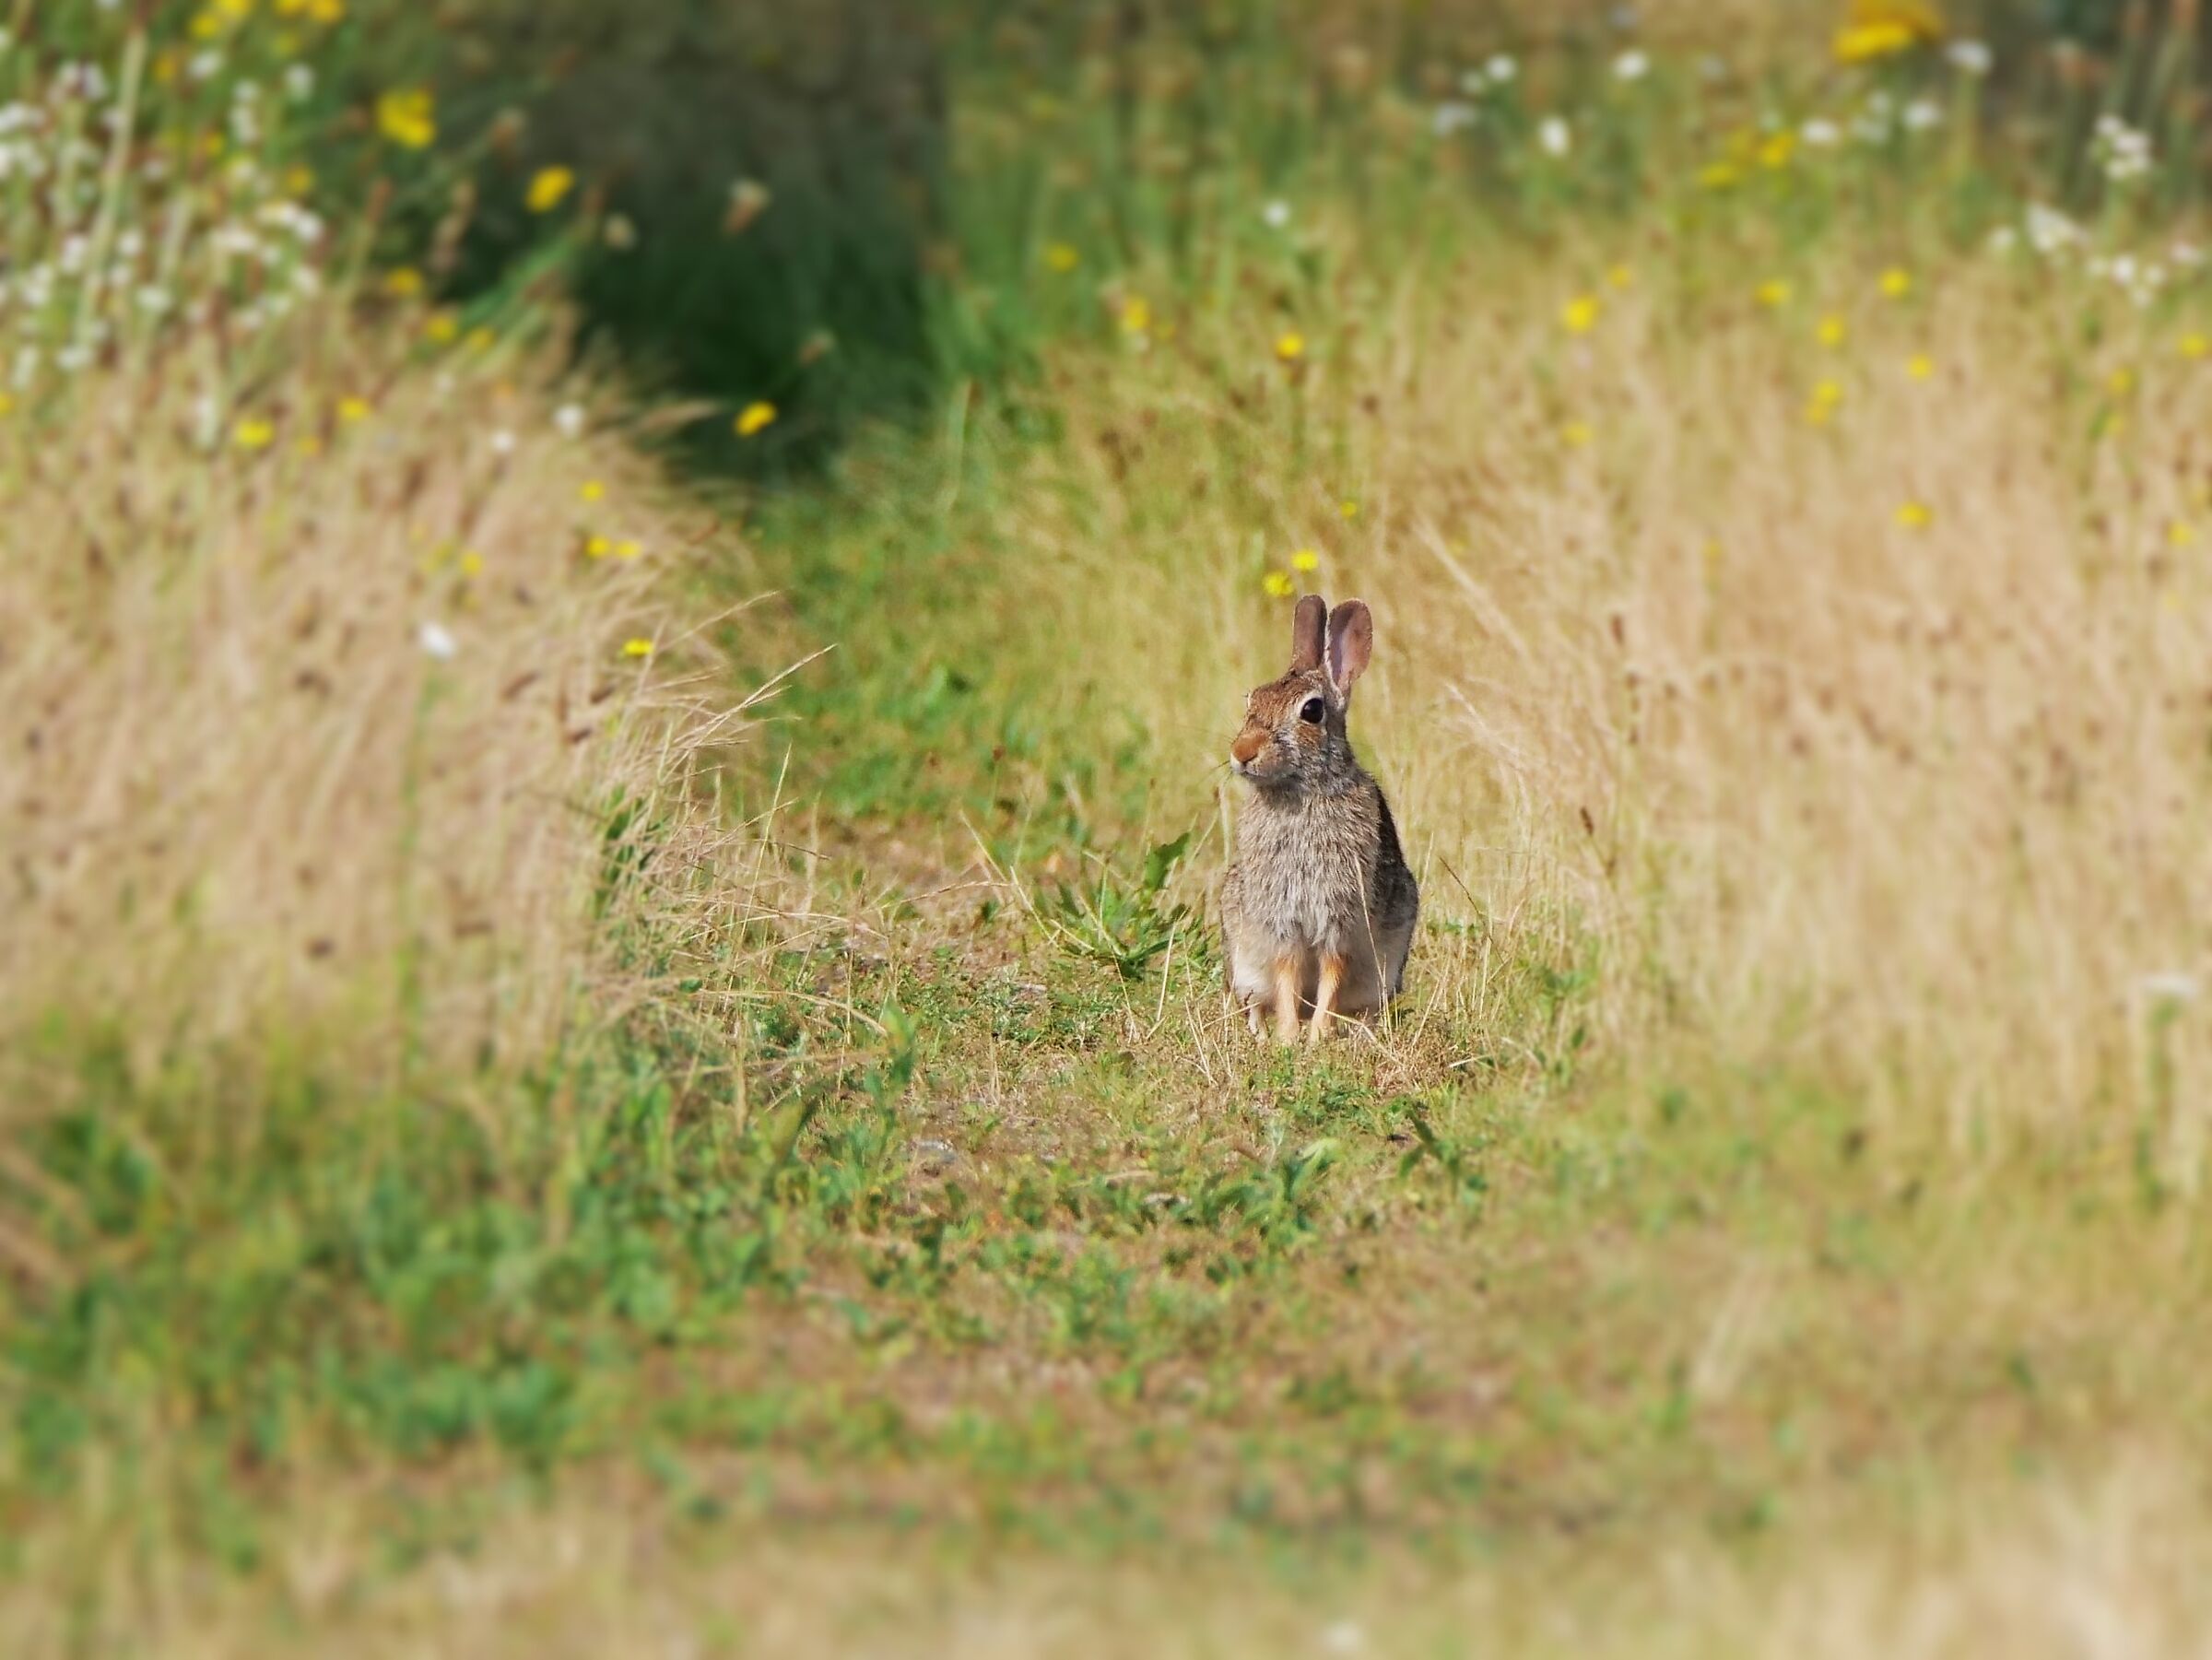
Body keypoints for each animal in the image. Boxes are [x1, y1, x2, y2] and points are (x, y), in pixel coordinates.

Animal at [1219, 594, 1419, 1042]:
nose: (1242, 752)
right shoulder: (1282, 921)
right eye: (1251, 701)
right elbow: (1288, 973)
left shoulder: (1340, 918)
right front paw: (1289, 1036)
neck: (1302, 791)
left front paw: (1315, 1036)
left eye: (1311, 711)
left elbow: (1332, 971)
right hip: (1243, 960)